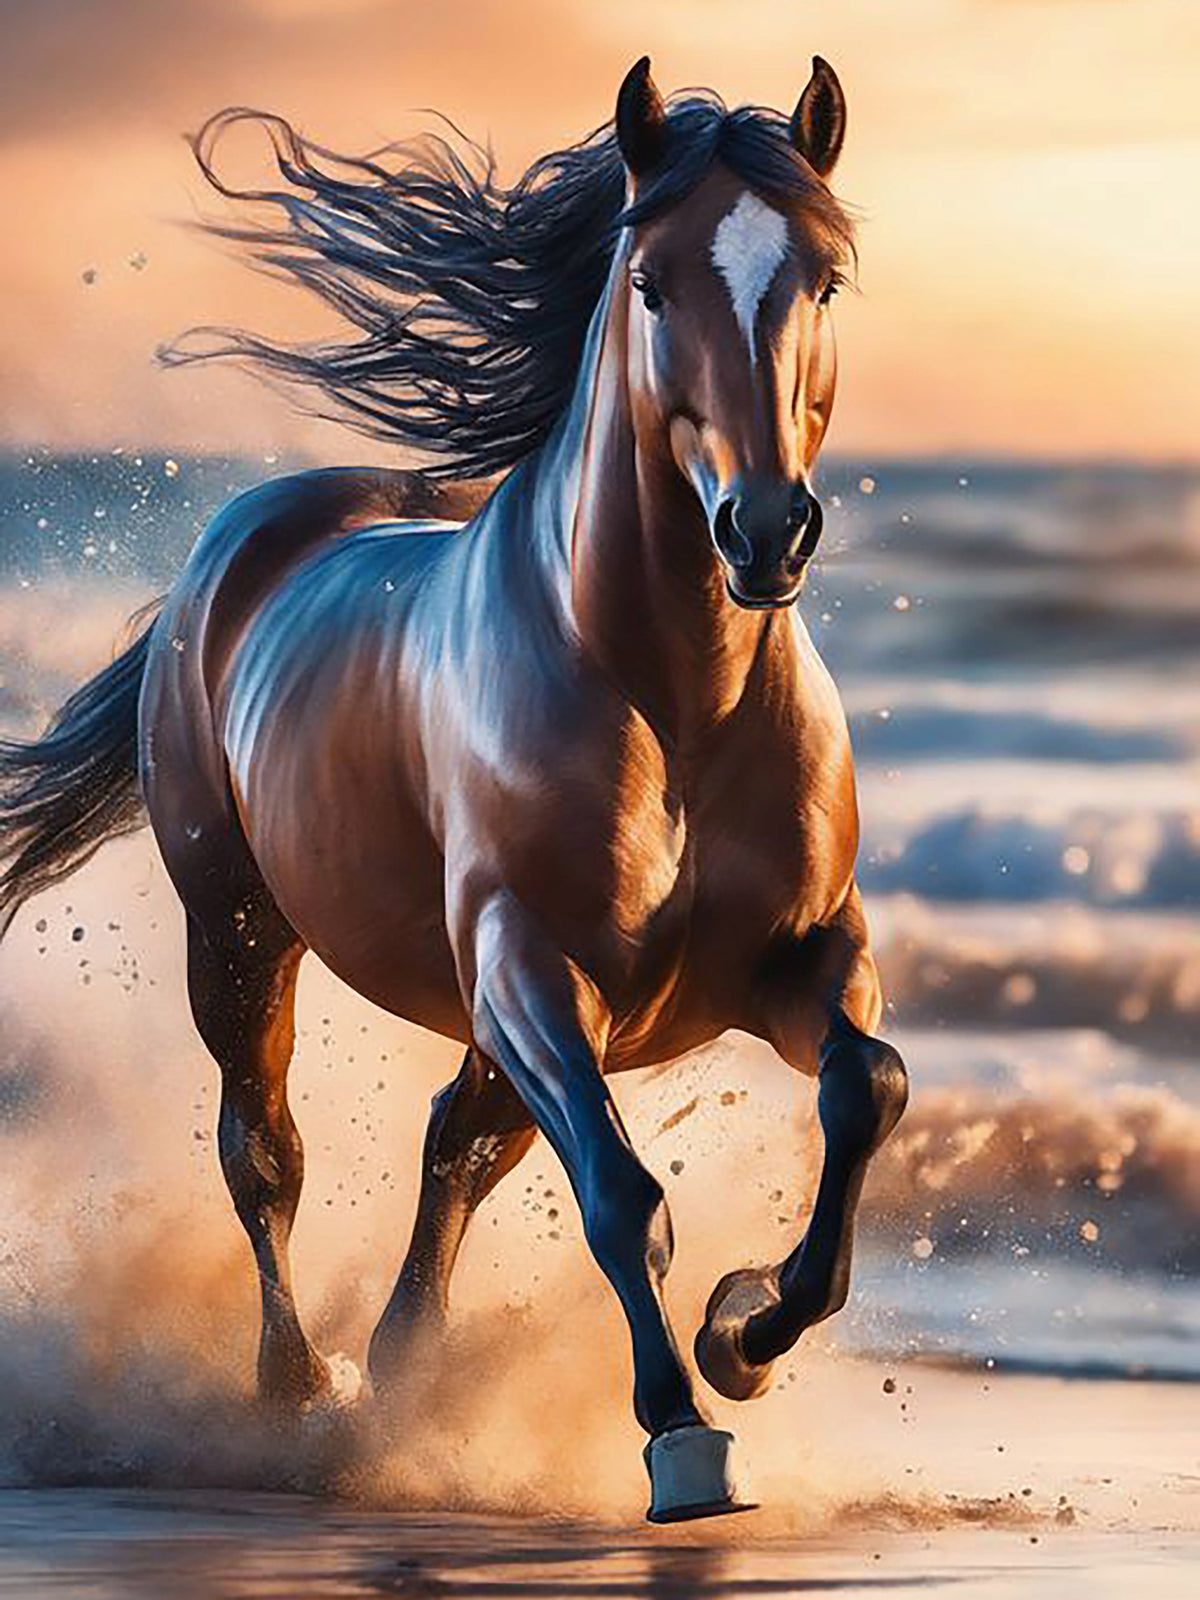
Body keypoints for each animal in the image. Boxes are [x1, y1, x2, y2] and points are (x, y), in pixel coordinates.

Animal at [0, 56, 908, 1521]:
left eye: (823, 277)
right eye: (650, 283)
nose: (766, 531)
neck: (677, 706)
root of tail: (242, 544)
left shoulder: (795, 957)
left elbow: (864, 1089)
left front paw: (744, 1331)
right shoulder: (529, 967)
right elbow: (622, 1195)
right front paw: (682, 1435)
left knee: (456, 1143)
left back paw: (402, 1371)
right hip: (241, 931)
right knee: (265, 1152)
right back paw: (297, 1392)